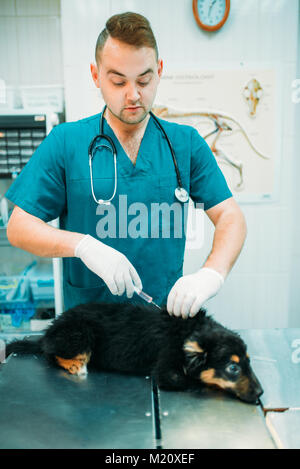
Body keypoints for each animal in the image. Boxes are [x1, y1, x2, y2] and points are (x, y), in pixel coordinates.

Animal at [4, 302, 262, 404]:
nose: (261, 392)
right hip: (81, 333)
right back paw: (75, 365)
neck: (189, 331)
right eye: (233, 368)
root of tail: (50, 330)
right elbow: (186, 379)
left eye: (249, 363)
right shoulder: (165, 369)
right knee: (50, 353)